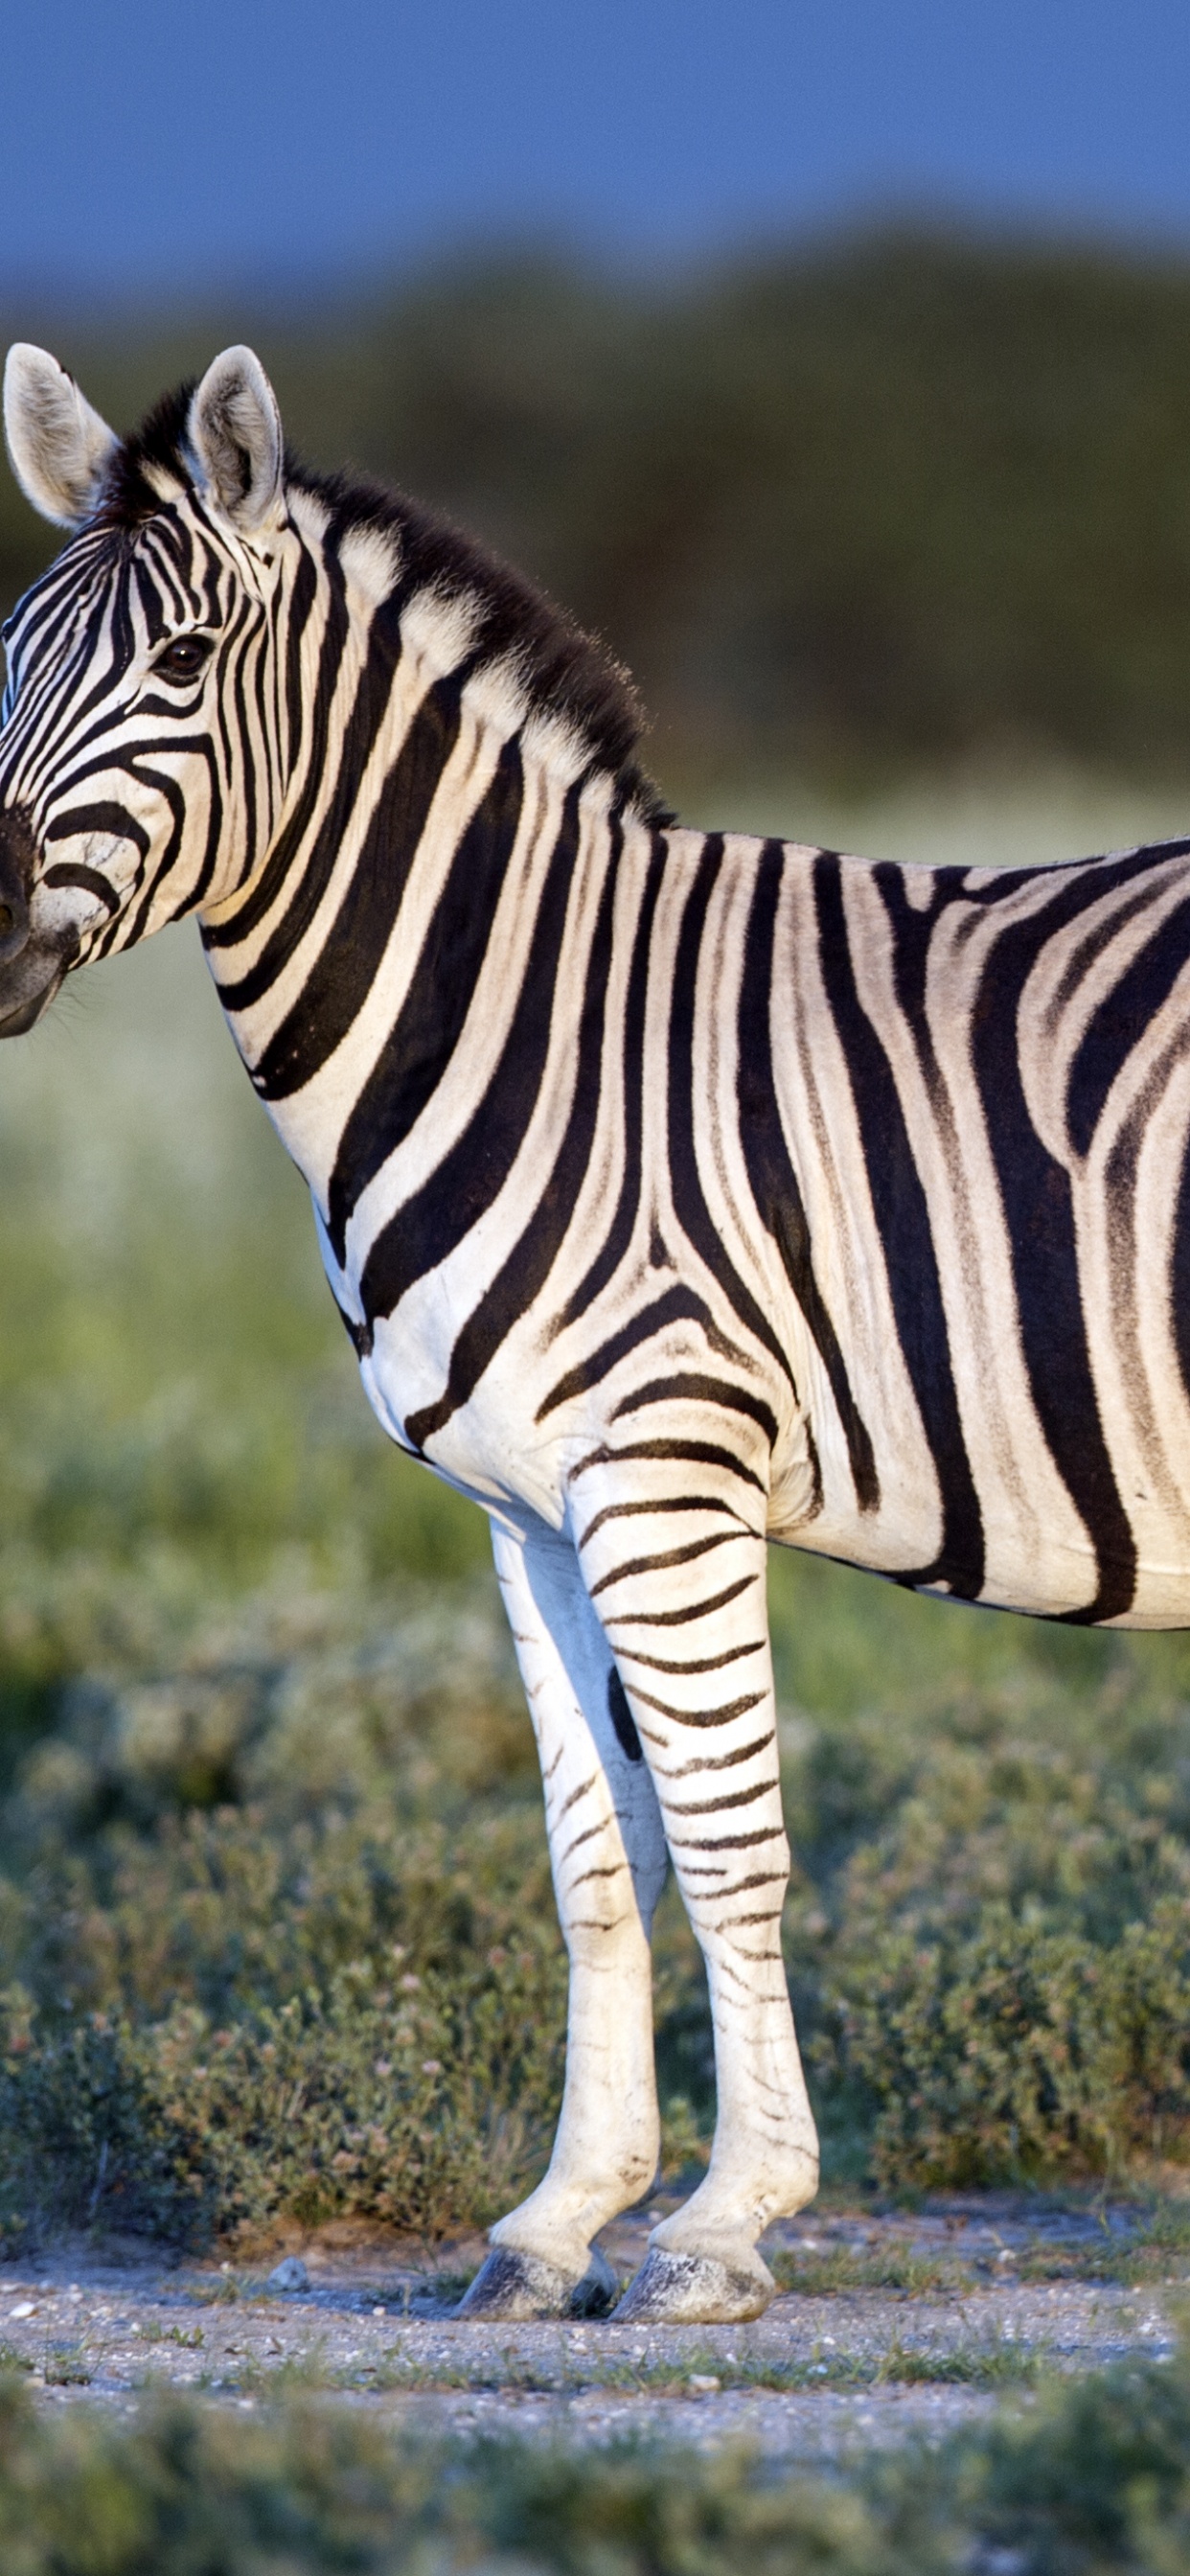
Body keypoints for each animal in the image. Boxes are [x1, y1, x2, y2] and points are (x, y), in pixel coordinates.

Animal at [2, 332, 1190, 2328]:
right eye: (4, 660)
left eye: (177, 666)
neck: (530, 1017)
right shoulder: (529, 1510)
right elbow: (592, 1857)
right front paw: (563, 2215)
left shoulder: (666, 1467)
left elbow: (724, 1841)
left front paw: (721, 2223)